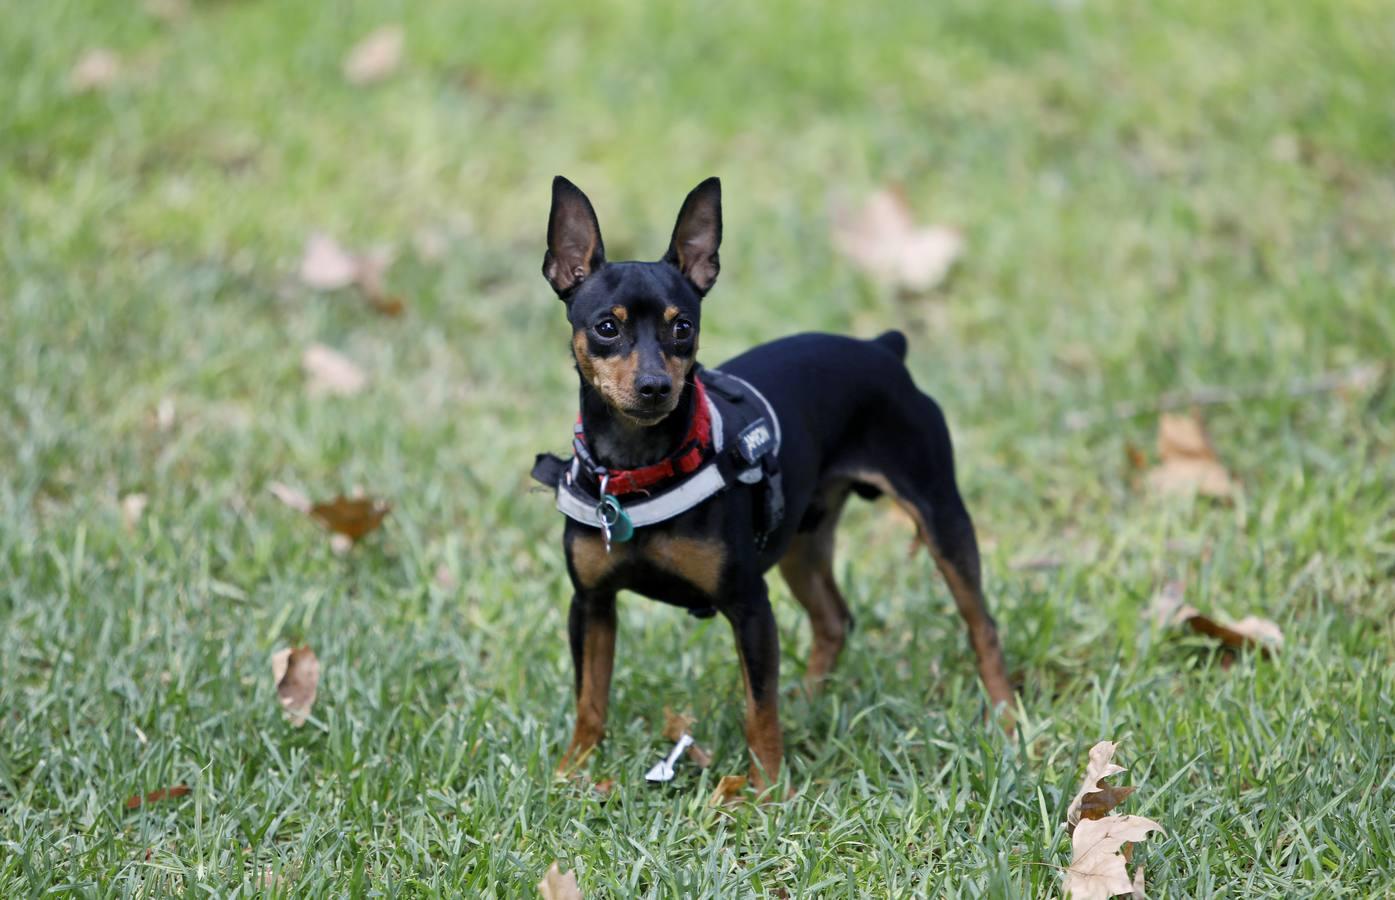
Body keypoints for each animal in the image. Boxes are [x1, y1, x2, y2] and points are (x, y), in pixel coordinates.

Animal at [535, 177, 1015, 792]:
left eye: (682, 328)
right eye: (606, 327)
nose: (655, 387)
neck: (641, 470)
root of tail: (882, 347)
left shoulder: (749, 607)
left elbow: (758, 710)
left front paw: (763, 791)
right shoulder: (591, 604)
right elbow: (590, 700)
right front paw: (572, 771)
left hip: (941, 518)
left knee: (982, 624)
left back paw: (1007, 720)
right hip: (803, 542)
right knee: (833, 620)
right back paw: (808, 701)